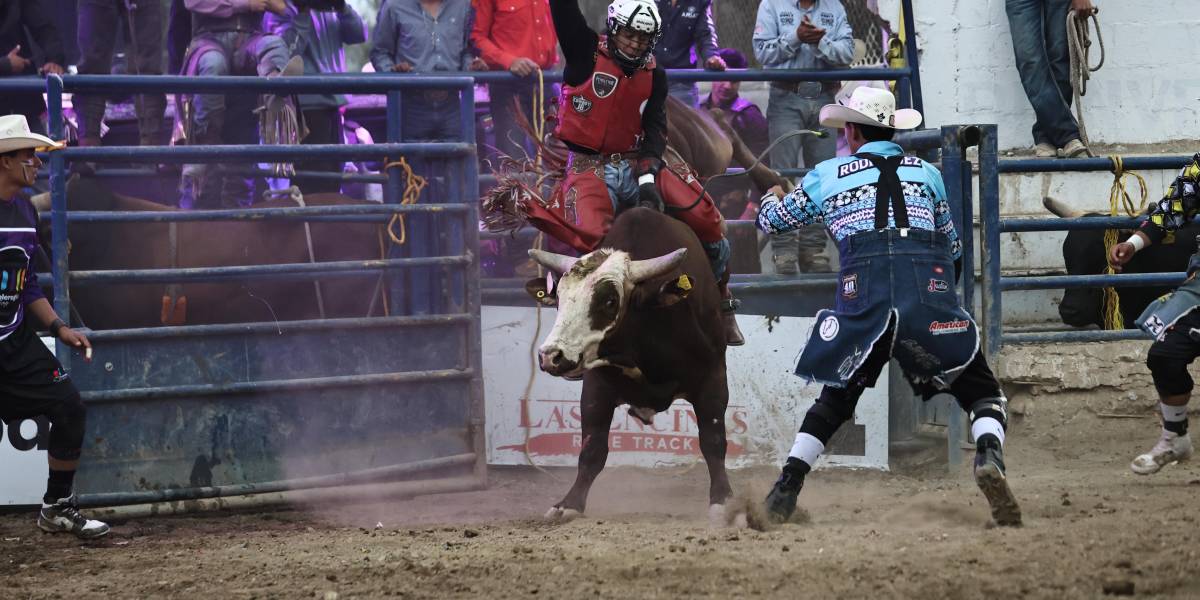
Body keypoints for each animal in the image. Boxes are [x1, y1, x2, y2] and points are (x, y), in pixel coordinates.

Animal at [525, 206, 735, 524]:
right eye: (558, 298)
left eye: (610, 301)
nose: (551, 355)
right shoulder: (596, 386)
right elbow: (592, 450)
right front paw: (568, 504)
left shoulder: (713, 379)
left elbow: (713, 441)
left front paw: (723, 501)